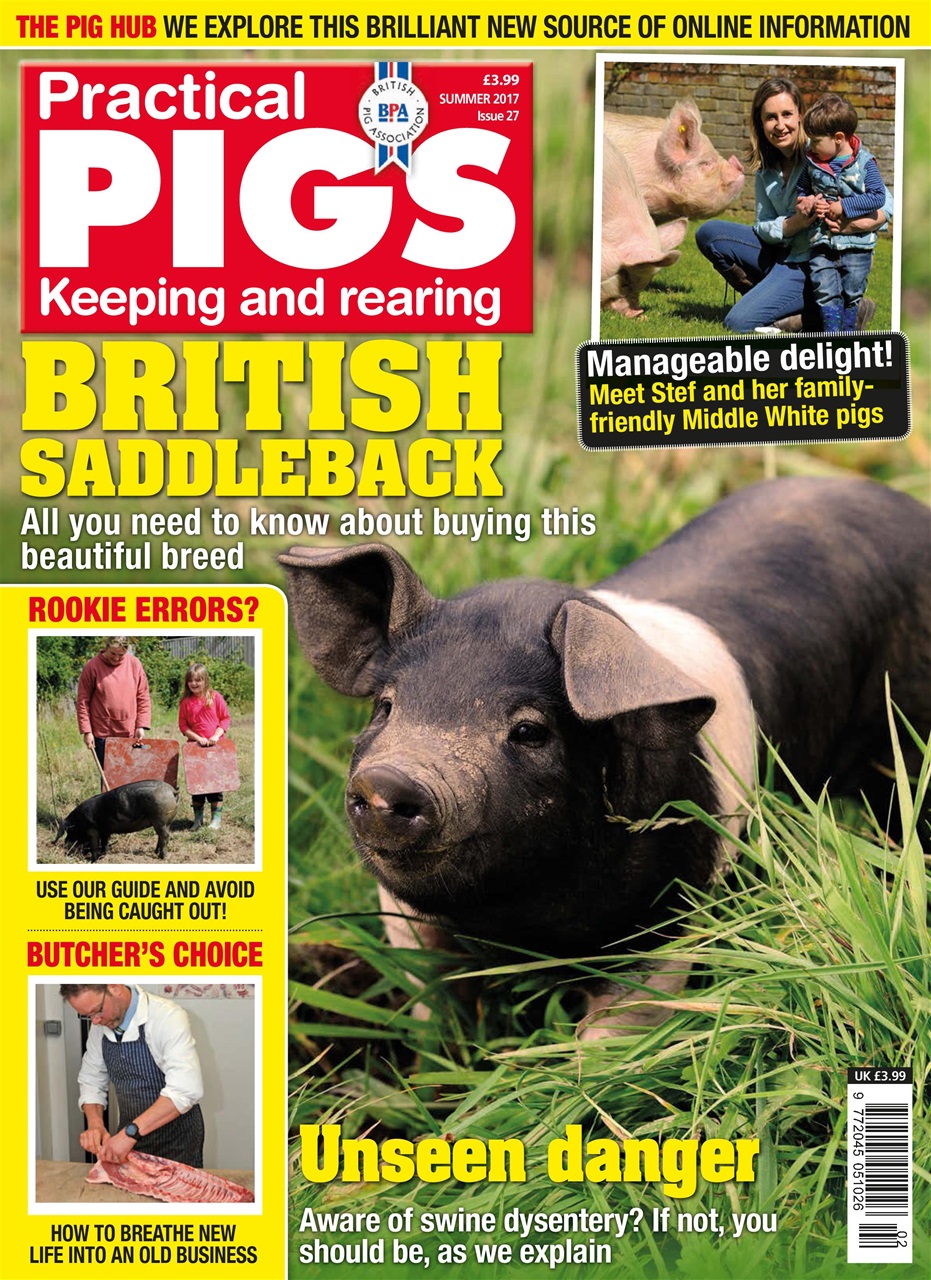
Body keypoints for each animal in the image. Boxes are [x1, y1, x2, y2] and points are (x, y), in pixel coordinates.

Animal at [280, 478, 930, 1036]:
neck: (518, 919)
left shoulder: (664, 922)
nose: (390, 779)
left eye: (530, 731)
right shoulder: (406, 919)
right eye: (385, 706)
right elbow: (435, 1006)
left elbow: (615, 1037)